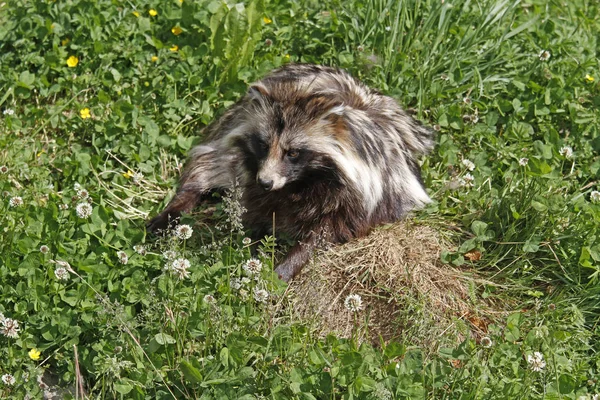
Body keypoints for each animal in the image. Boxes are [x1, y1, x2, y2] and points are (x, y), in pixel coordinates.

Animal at [148, 64, 434, 282]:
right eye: (263, 145)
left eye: (293, 152)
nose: (265, 182)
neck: (299, 183)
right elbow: (252, 207)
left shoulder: (367, 193)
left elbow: (329, 230)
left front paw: (288, 263)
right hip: (230, 128)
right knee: (209, 164)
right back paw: (179, 205)